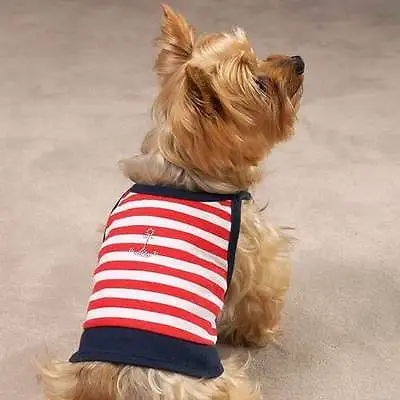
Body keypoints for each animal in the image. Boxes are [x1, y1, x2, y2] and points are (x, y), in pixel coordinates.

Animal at [39, 3, 304, 400]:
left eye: (256, 54)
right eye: (259, 84)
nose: (299, 60)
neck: (183, 167)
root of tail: (122, 383)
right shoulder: (256, 252)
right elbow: (259, 298)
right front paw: (258, 333)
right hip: (219, 383)